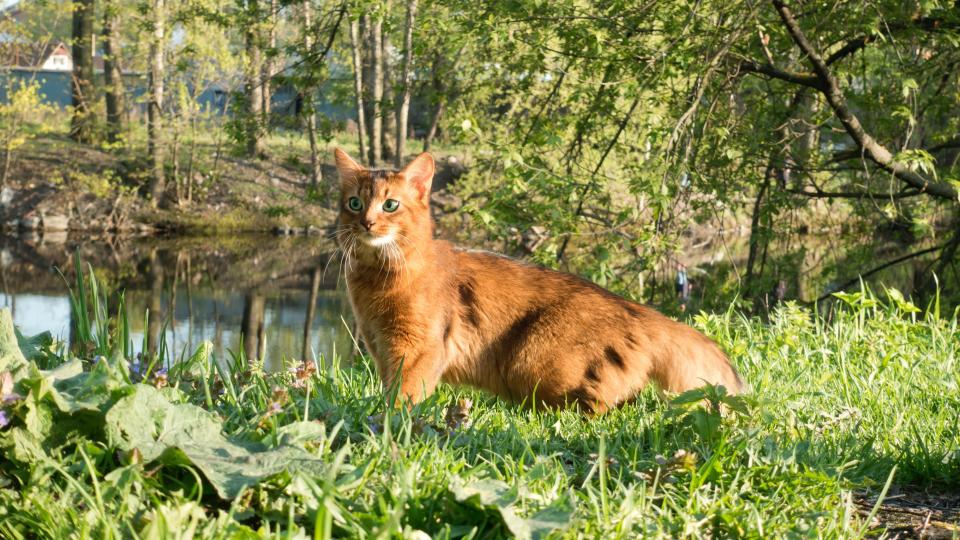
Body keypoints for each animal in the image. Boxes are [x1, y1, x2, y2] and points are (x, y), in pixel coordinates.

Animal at [334, 150, 748, 412]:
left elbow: (402, 400)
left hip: (530, 360)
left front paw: (389, 423)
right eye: (354, 203)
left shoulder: (418, 349)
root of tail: (636, 310)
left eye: (390, 205)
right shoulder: (381, 350)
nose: (366, 223)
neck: (377, 278)